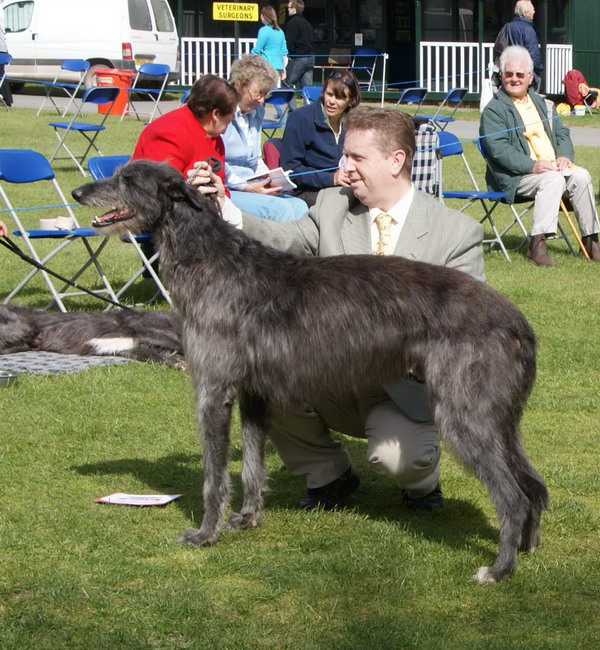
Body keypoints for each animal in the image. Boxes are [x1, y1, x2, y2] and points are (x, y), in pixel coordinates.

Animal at [74, 159, 548, 580]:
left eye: (127, 179)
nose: (79, 192)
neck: (207, 258)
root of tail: (517, 321)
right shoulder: (253, 393)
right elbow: (251, 465)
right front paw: (248, 518)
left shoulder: (213, 390)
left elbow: (213, 475)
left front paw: (206, 533)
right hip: (498, 417)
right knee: (532, 485)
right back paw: (526, 548)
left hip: (464, 414)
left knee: (512, 495)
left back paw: (500, 569)